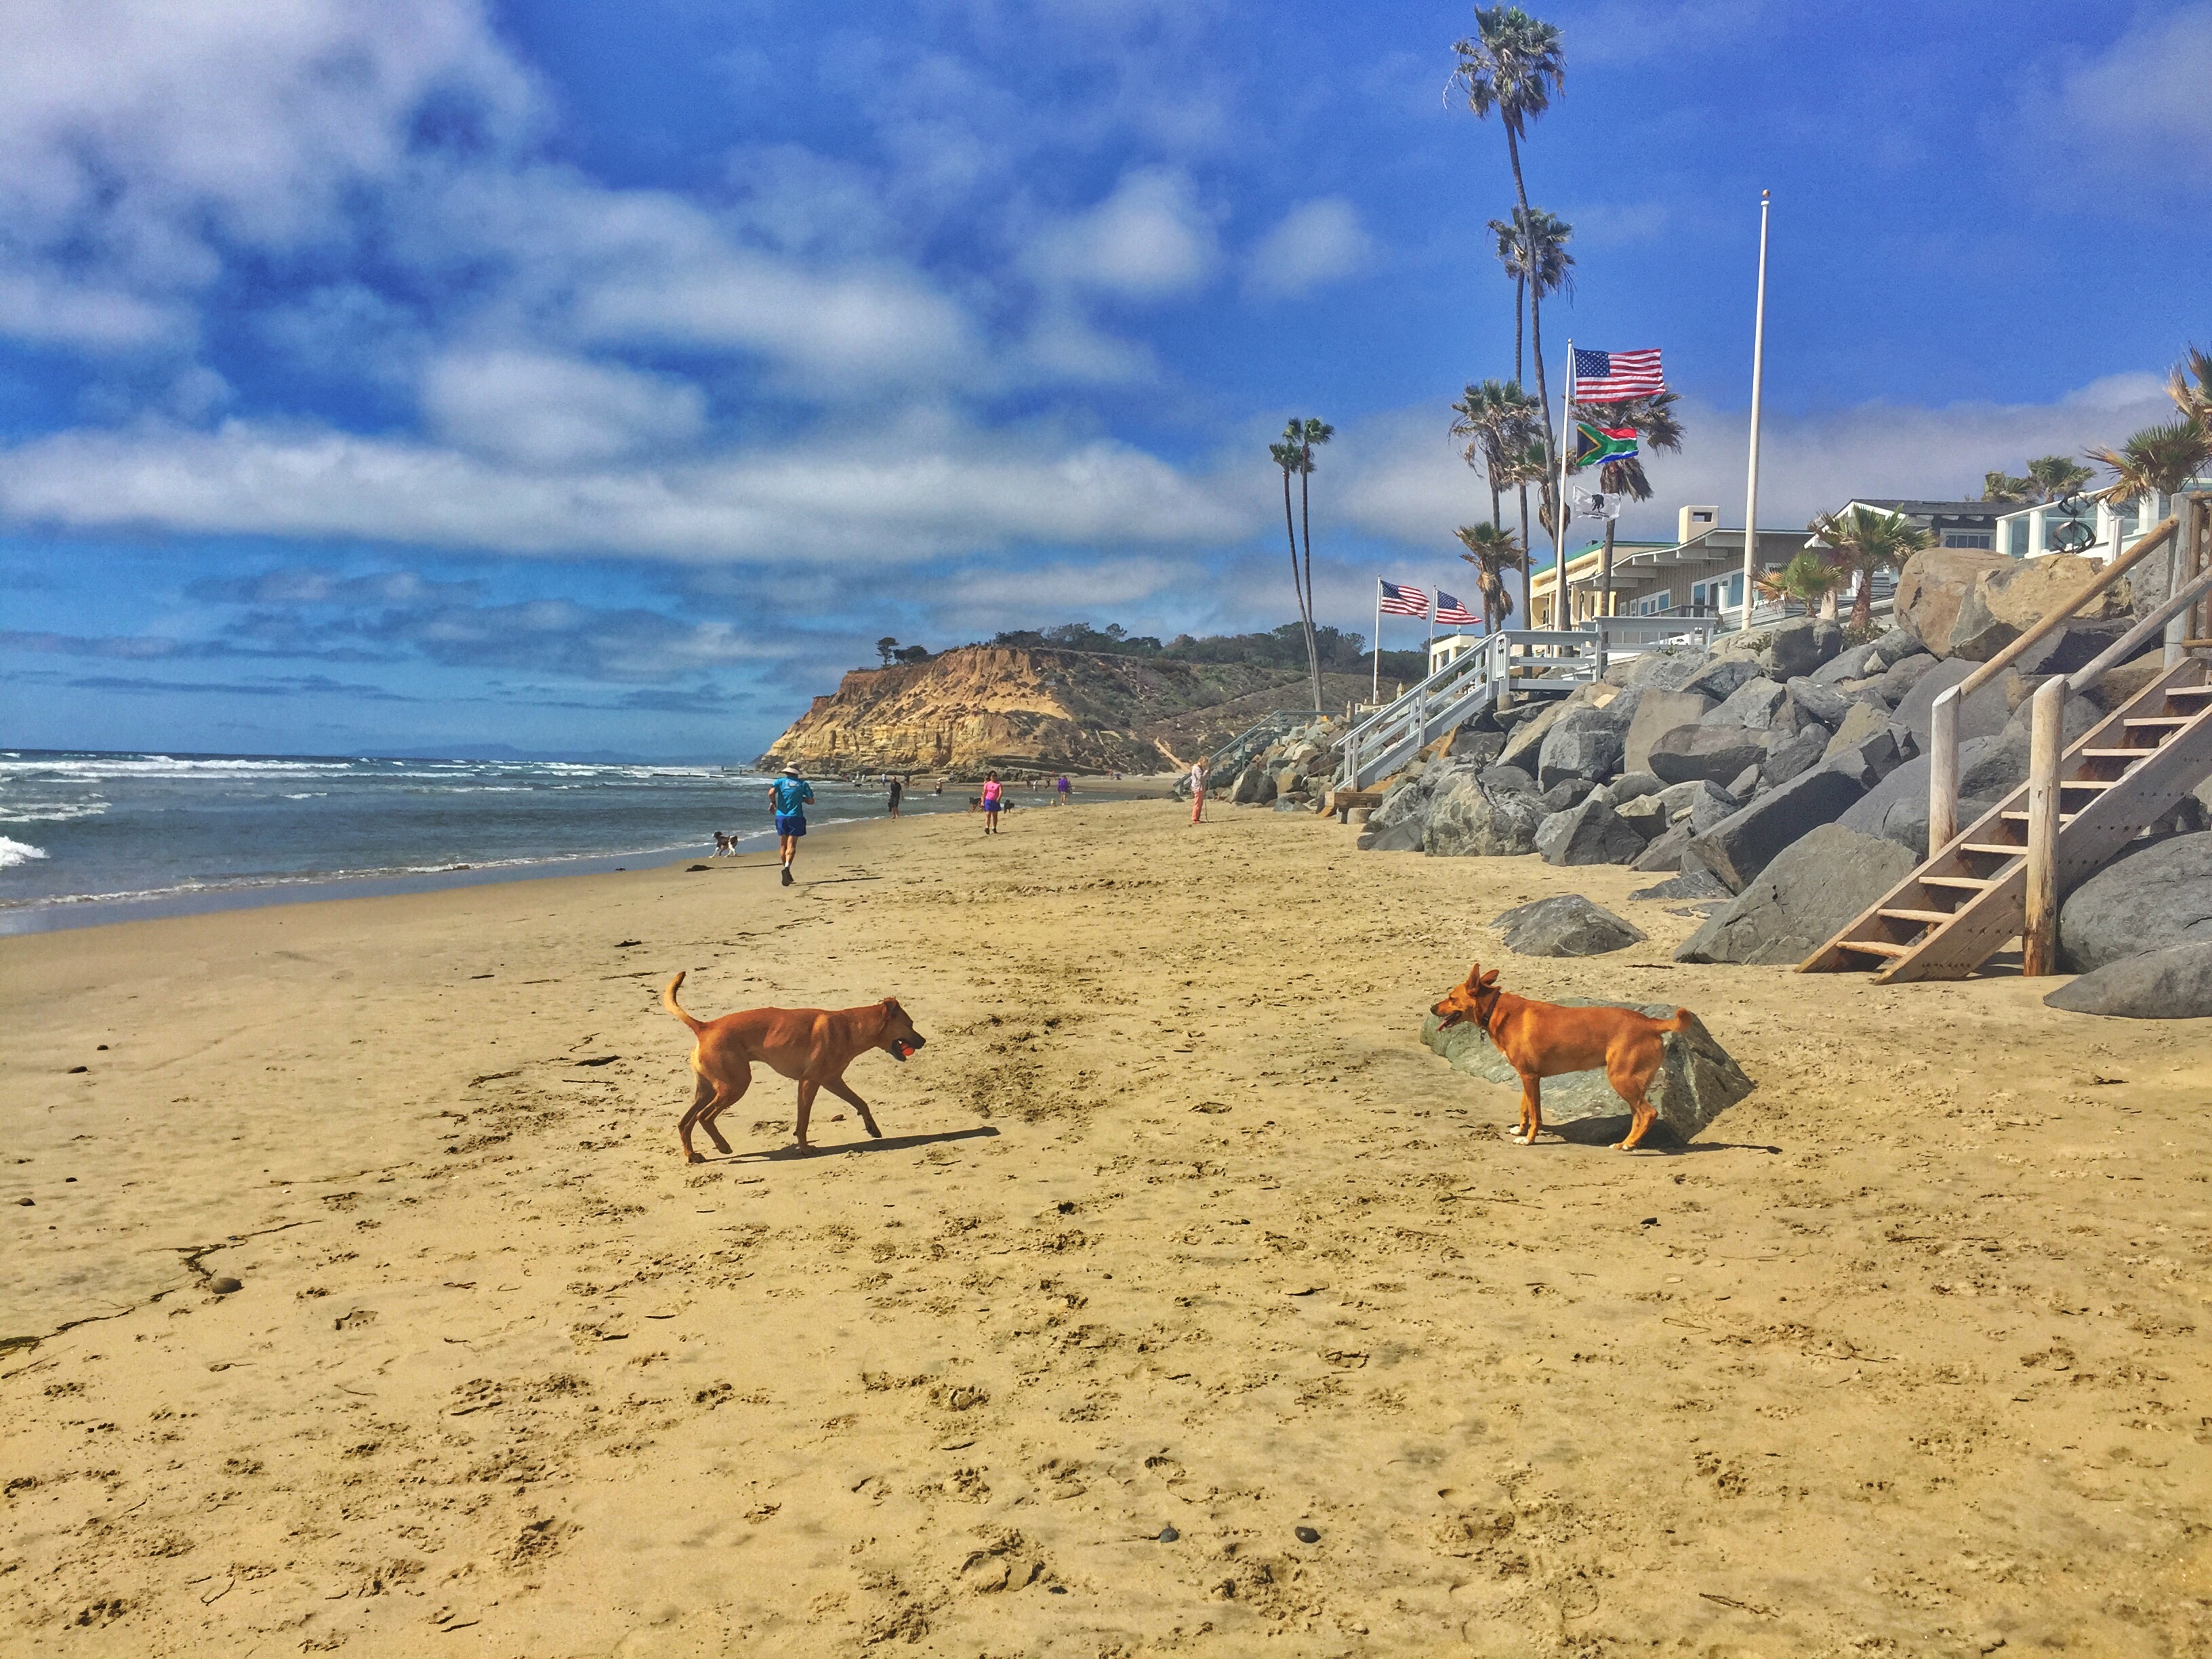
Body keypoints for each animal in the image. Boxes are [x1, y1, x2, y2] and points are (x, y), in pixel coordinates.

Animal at [663, 968, 924, 1159]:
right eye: (910, 1024)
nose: (923, 1041)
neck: (851, 1028)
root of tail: (704, 1027)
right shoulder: (810, 1082)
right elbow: (804, 1119)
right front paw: (806, 1149)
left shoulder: (832, 1081)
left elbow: (861, 1102)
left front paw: (872, 1128)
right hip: (735, 1085)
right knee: (704, 1117)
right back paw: (722, 1146)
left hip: (708, 1089)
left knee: (685, 1122)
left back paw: (692, 1155)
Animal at [1433, 960, 1689, 1159]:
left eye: (1451, 997)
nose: (1431, 1008)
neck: (1496, 1010)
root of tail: (1650, 1023)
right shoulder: (1528, 1077)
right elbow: (1525, 1107)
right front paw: (1520, 1130)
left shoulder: (1530, 1077)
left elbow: (1535, 1113)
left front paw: (1529, 1139)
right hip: (1631, 1085)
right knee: (1638, 1116)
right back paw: (1627, 1143)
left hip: (1622, 1080)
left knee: (1649, 1113)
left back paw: (1629, 1144)